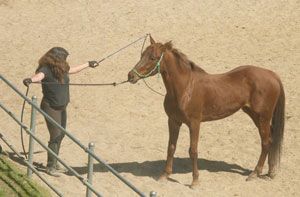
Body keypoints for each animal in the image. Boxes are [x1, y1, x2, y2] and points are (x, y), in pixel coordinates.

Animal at [127, 36, 284, 189]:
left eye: (153, 57)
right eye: (142, 54)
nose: (130, 76)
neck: (185, 89)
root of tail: (272, 75)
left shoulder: (194, 124)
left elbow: (193, 150)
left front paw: (195, 181)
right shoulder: (173, 121)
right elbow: (171, 147)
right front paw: (165, 175)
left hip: (263, 118)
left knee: (265, 142)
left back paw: (255, 173)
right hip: (255, 116)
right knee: (270, 140)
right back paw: (270, 172)